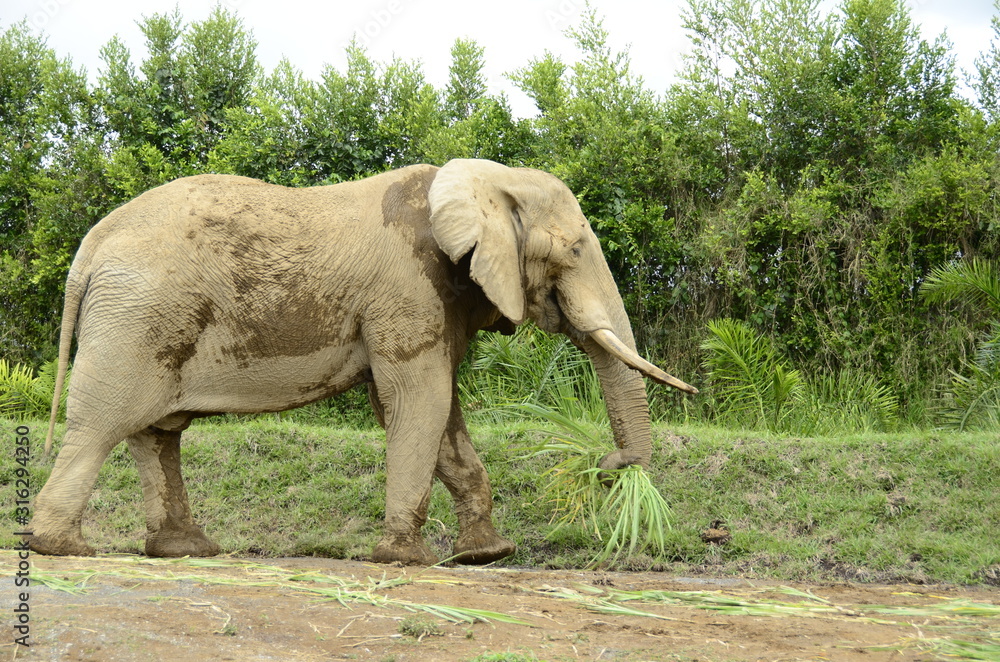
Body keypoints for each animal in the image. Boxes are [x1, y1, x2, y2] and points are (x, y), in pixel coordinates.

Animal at [29, 158, 697, 566]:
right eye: (576, 249)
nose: (607, 467)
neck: (484, 180)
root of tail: (89, 249)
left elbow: (439, 411)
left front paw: (487, 555)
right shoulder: (408, 288)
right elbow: (418, 399)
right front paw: (407, 559)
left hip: (149, 321)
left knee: (156, 433)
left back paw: (188, 550)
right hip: (138, 318)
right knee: (103, 423)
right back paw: (63, 549)